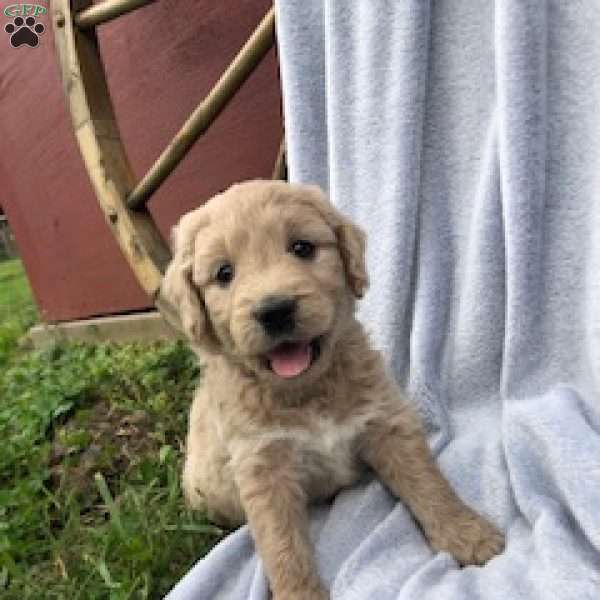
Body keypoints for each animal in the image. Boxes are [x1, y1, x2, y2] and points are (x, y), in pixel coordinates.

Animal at [159, 182, 502, 600]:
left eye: (302, 247)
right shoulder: (263, 467)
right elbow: (283, 548)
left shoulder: (386, 420)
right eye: (224, 273)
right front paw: (300, 595)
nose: (275, 310)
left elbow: (427, 480)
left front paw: (468, 534)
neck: (308, 391)